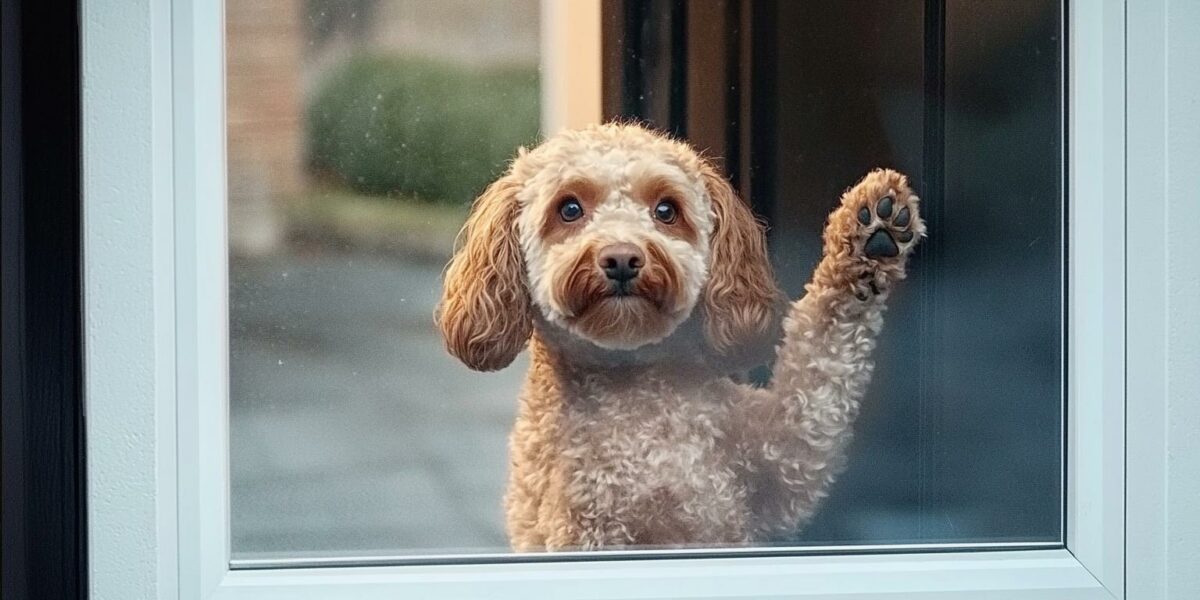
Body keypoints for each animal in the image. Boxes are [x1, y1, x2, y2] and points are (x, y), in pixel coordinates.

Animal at [436, 123, 921, 552]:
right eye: (569, 209)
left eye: (666, 210)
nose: (622, 258)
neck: (635, 395)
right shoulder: (585, 532)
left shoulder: (783, 461)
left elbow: (820, 363)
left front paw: (870, 235)